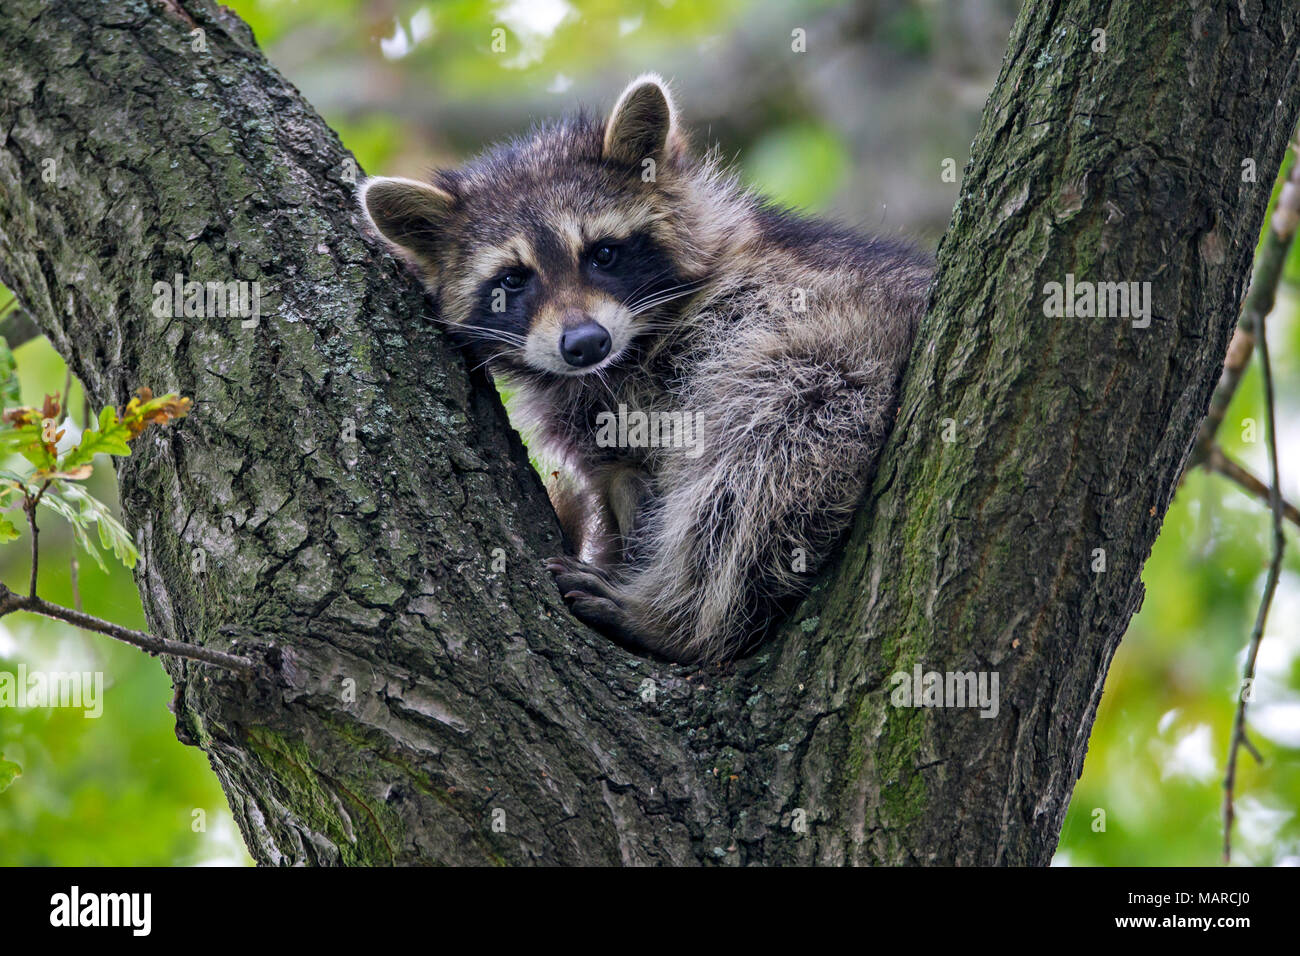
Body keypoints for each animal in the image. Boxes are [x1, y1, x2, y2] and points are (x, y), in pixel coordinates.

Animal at [361, 74, 930, 660]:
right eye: (513, 280)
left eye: (603, 253)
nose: (585, 343)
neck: (623, 356)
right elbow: (617, 471)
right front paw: (627, 499)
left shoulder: (777, 303)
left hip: (838, 365)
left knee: (764, 453)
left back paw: (677, 619)